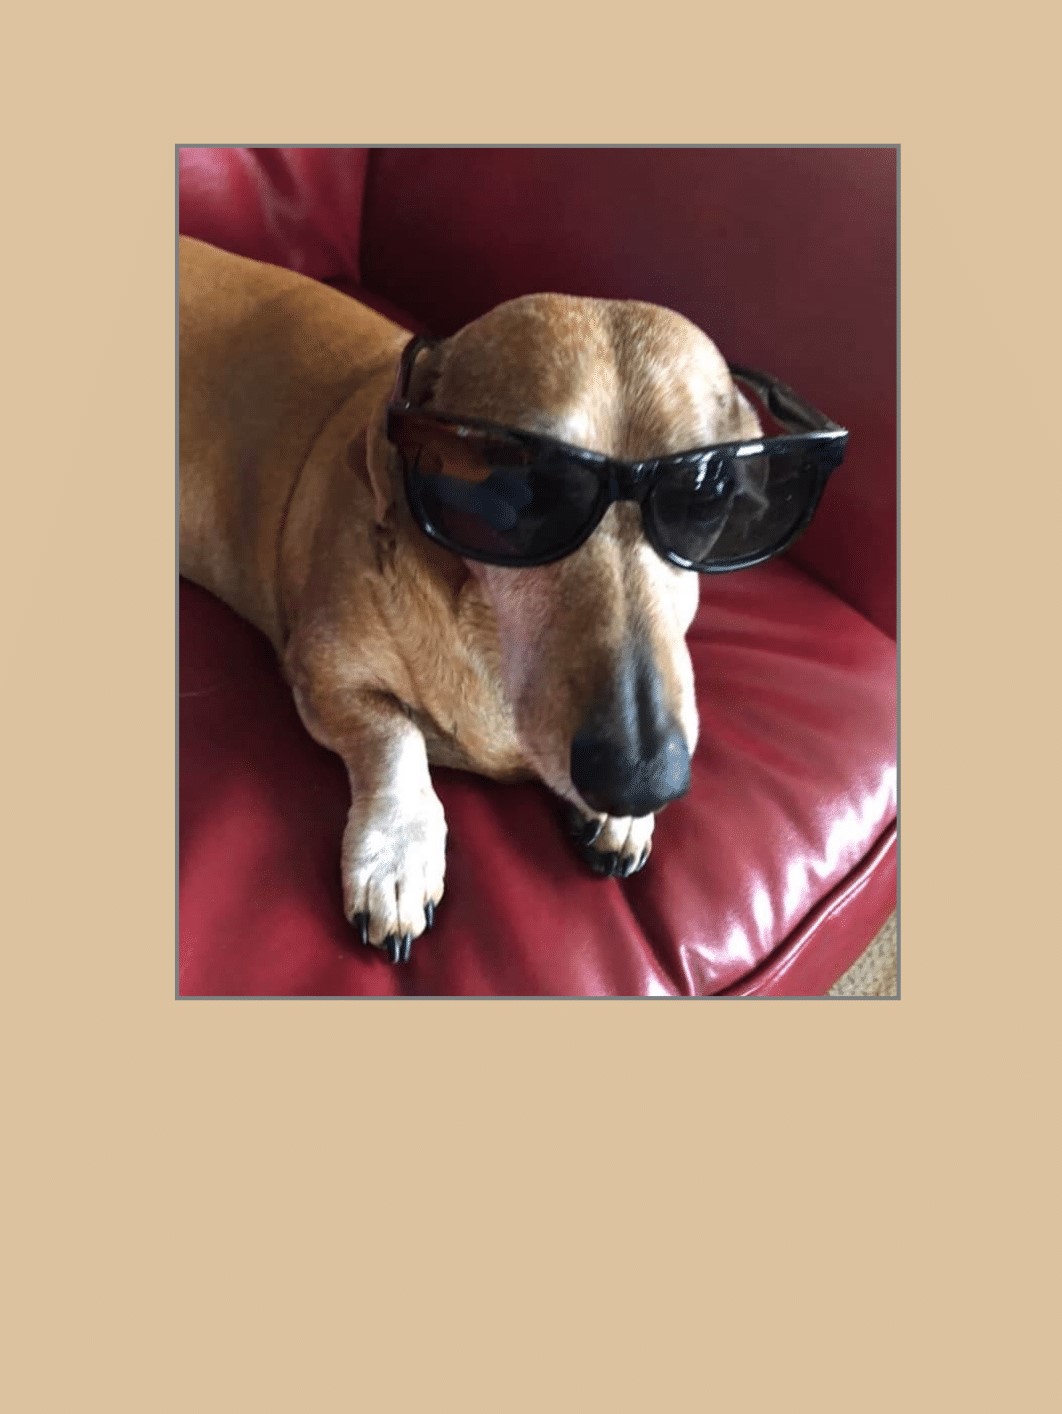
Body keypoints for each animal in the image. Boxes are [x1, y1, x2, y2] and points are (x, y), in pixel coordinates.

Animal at [179, 235, 762, 962]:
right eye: (527, 487)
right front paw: (398, 855)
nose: (642, 778)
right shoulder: (321, 670)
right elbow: (396, 736)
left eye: (706, 492)